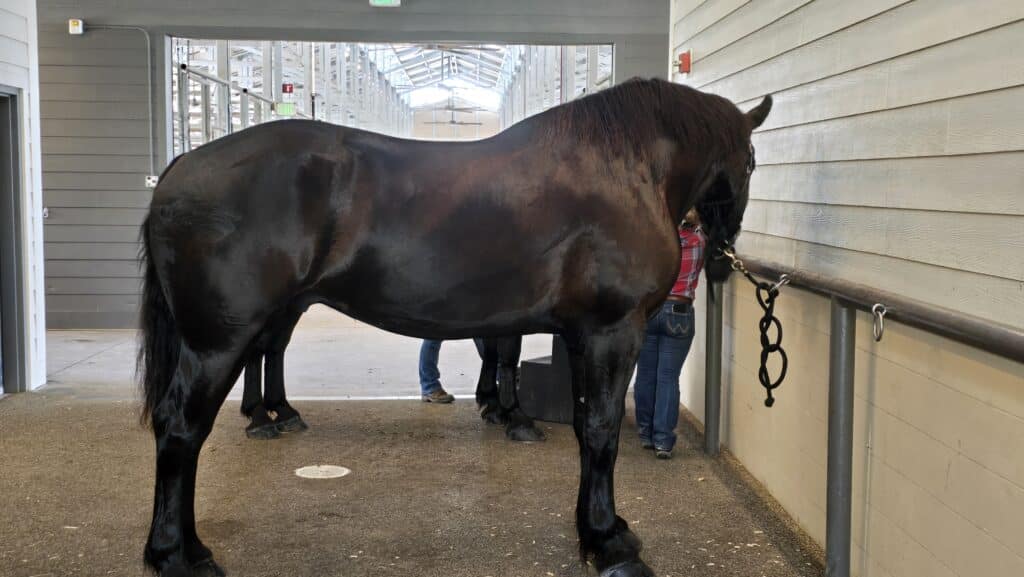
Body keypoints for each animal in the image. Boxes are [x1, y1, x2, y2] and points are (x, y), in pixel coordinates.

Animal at [140, 77, 770, 577]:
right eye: (751, 161)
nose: (721, 257)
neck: (624, 171)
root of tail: (180, 169)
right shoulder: (611, 331)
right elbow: (599, 429)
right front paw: (607, 540)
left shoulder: (572, 332)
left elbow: (564, 410)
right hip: (218, 341)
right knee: (182, 428)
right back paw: (177, 553)